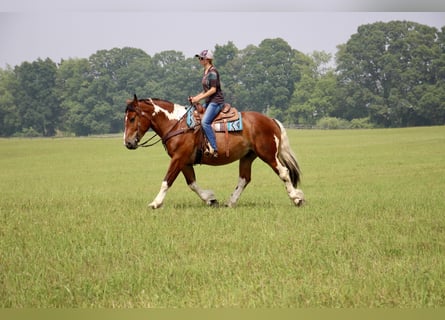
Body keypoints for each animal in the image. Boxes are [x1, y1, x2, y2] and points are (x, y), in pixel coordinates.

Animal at [123, 94, 304, 210]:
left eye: (132, 118)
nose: (128, 143)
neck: (177, 124)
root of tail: (271, 120)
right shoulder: (184, 161)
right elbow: (192, 184)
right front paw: (210, 199)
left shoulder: (178, 158)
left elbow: (167, 181)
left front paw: (156, 203)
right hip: (247, 157)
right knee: (244, 179)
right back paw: (230, 202)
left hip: (268, 155)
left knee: (283, 172)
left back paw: (297, 198)